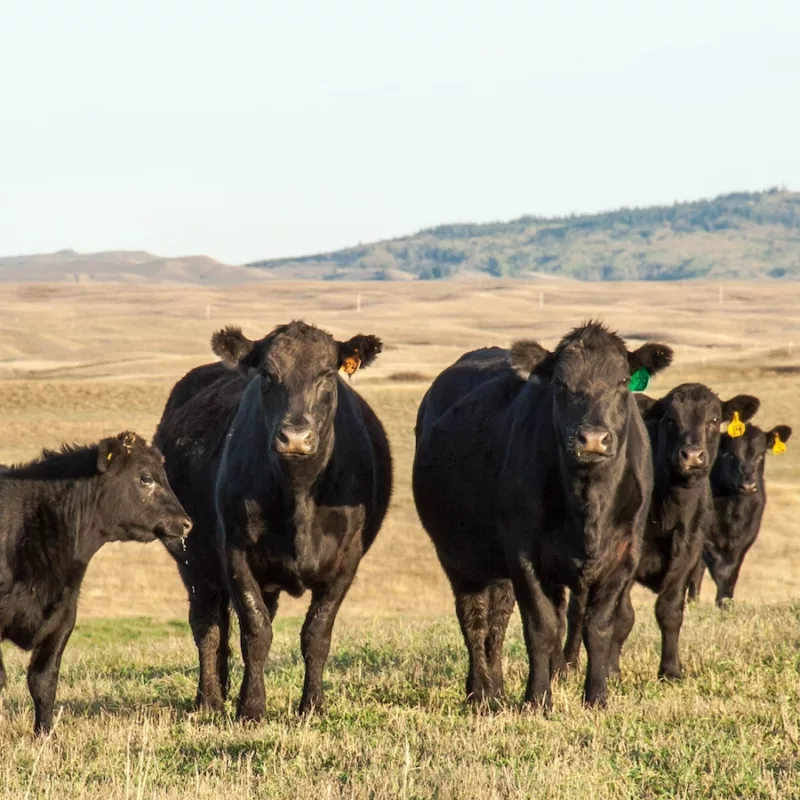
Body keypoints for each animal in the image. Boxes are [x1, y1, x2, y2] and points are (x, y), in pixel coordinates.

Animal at [154, 321, 392, 720]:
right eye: (267, 374)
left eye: (328, 375)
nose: (295, 437)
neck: (300, 494)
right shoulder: (235, 552)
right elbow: (256, 632)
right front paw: (251, 708)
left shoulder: (347, 560)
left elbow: (316, 633)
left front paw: (313, 706)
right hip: (193, 561)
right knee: (208, 626)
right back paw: (209, 700)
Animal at [412, 321, 673, 709]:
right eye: (560, 383)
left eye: (623, 381)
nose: (592, 438)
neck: (588, 505)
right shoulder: (524, 556)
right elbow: (541, 627)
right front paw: (537, 699)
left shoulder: (624, 555)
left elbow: (599, 627)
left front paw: (597, 697)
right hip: (457, 555)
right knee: (474, 617)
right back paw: (480, 693)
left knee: (498, 618)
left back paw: (497, 689)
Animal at [564, 386, 759, 681]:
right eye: (670, 419)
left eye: (714, 420)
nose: (692, 455)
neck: (671, 508)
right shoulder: (627, 556)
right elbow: (623, 617)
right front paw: (611, 671)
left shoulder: (689, 553)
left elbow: (670, 611)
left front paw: (671, 670)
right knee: (577, 609)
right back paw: (567, 664)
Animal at [688, 423, 792, 606]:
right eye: (731, 454)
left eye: (761, 454)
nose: (748, 486)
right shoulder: (704, 536)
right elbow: (721, 569)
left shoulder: (746, 537)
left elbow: (732, 572)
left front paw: (725, 603)